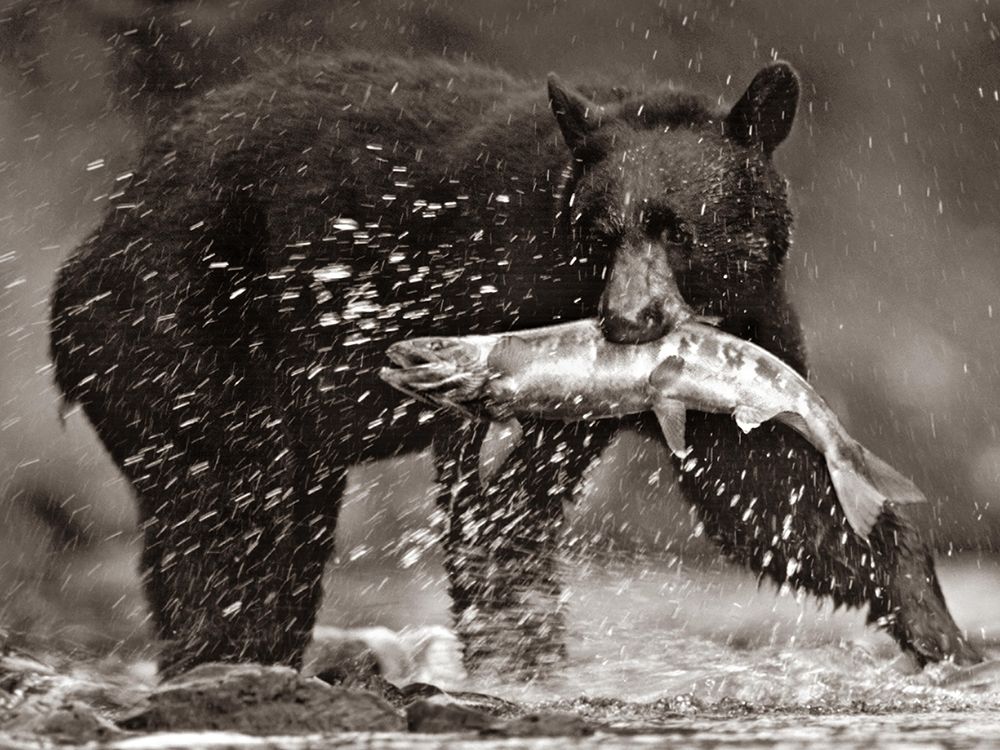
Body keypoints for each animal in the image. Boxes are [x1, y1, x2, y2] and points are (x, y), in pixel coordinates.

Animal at [50, 52, 981, 677]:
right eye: (599, 232)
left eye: (677, 228)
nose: (627, 323)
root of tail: (101, 229)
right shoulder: (493, 290)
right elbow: (492, 503)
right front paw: (521, 656)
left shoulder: (748, 330)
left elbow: (770, 486)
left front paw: (940, 631)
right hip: (182, 340)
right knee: (227, 519)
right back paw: (219, 652)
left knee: (278, 531)